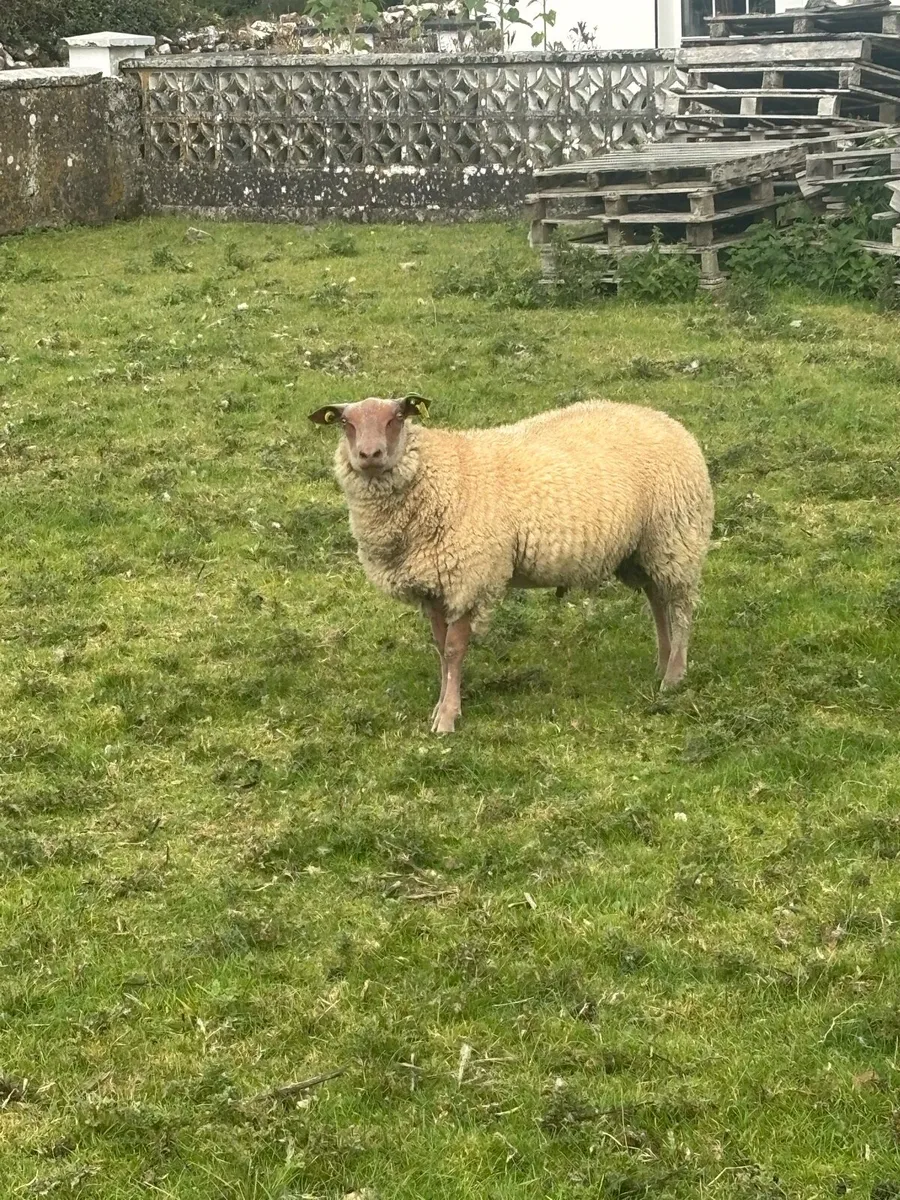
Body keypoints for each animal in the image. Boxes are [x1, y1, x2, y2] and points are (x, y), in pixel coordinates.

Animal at [308, 394, 714, 734]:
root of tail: (668, 421)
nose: (370, 454)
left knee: (680, 608)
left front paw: (448, 717)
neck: (438, 475)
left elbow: (454, 650)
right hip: (642, 550)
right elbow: (440, 648)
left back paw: (674, 676)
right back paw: (663, 663)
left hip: (675, 536)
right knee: (658, 601)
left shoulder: (471, 576)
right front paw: (443, 703)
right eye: (345, 422)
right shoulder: (433, 584)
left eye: (396, 418)